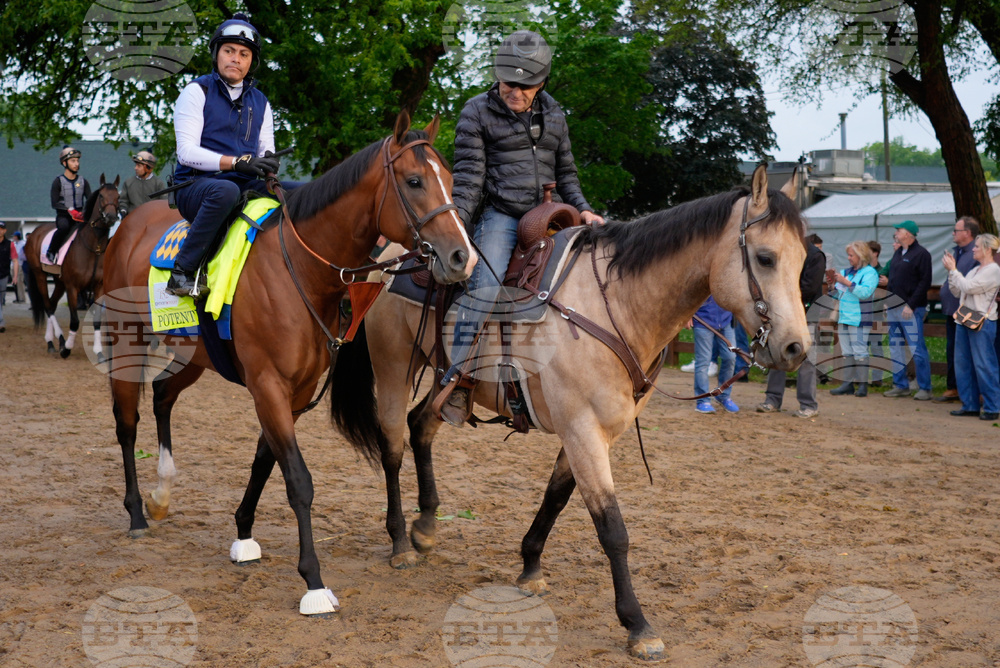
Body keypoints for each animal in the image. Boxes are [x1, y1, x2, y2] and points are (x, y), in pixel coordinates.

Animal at [24, 174, 120, 358]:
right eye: (102, 196)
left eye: (118, 196)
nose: (111, 217)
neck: (94, 248)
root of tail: (34, 232)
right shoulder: (73, 287)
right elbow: (75, 320)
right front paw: (67, 349)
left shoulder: (98, 287)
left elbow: (97, 320)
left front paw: (98, 351)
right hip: (40, 275)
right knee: (48, 306)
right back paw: (58, 341)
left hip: (59, 282)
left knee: (52, 304)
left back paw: (53, 342)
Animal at [100, 112, 476, 616]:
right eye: (415, 181)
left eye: (450, 181)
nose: (461, 257)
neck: (299, 268)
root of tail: (128, 225)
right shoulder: (268, 385)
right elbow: (298, 479)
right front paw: (313, 581)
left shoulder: (296, 390)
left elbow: (265, 457)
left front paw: (243, 532)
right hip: (127, 342)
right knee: (126, 421)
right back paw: (138, 513)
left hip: (193, 355)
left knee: (162, 396)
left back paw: (161, 495)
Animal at [329, 166, 810, 659]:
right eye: (766, 258)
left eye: (803, 260)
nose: (796, 348)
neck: (615, 305)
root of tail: (388, 259)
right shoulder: (582, 430)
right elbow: (612, 528)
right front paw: (637, 625)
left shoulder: (592, 433)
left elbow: (556, 498)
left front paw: (530, 566)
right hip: (392, 368)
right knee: (392, 445)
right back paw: (400, 543)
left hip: (446, 380)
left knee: (421, 425)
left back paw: (426, 526)